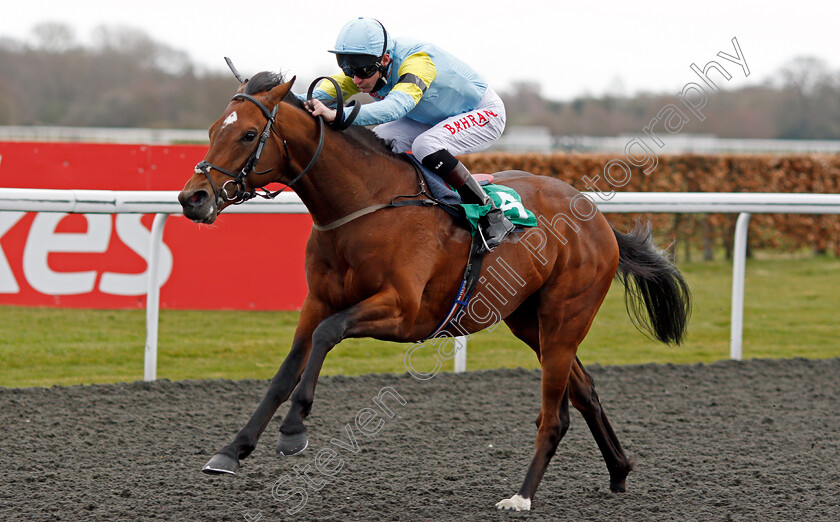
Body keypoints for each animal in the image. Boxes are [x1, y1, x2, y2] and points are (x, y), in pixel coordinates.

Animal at [177, 71, 688, 510]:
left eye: (248, 135)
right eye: (211, 130)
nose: (192, 198)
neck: (364, 205)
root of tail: (597, 217)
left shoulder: (403, 311)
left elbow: (328, 334)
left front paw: (294, 429)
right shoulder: (316, 300)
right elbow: (287, 370)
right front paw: (233, 449)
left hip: (565, 318)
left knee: (554, 414)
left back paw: (521, 496)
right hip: (529, 321)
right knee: (584, 392)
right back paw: (619, 471)